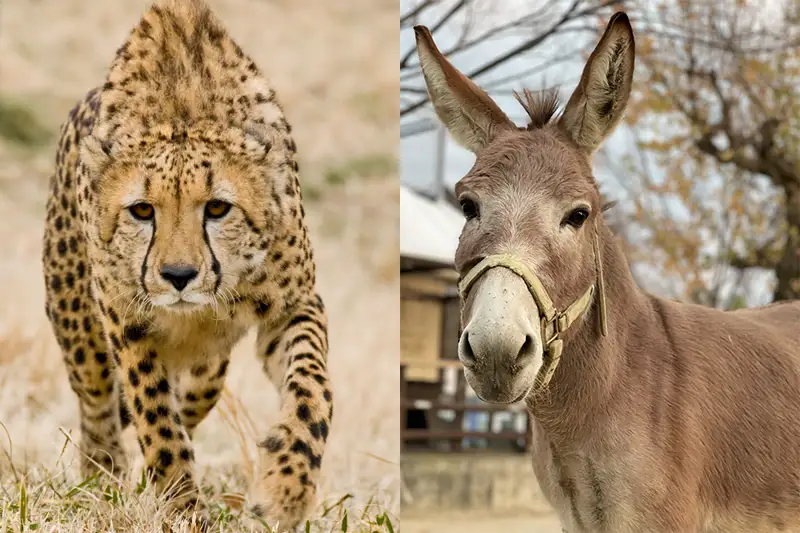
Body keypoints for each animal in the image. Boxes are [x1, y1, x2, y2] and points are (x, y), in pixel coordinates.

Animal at [39, 0, 334, 524]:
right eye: (141, 211)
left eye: (217, 208)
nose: (178, 276)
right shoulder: (127, 323)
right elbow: (156, 419)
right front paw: (181, 506)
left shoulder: (292, 307)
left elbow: (311, 390)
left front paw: (288, 487)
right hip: (79, 328)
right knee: (97, 405)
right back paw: (101, 479)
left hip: (209, 360)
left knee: (201, 388)